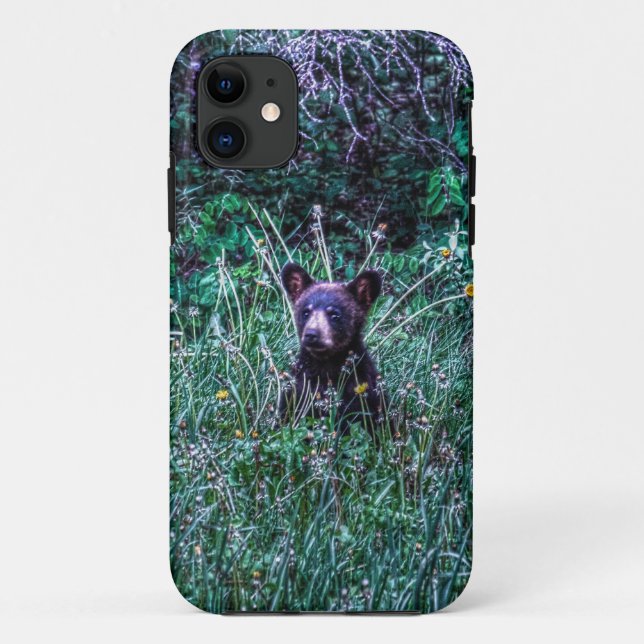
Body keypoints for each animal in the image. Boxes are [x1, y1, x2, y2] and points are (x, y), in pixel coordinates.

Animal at [279, 262, 385, 434]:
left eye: (335, 315)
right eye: (306, 312)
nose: (311, 334)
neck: (326, 366)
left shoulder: (362, 394)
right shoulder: (297, 393)